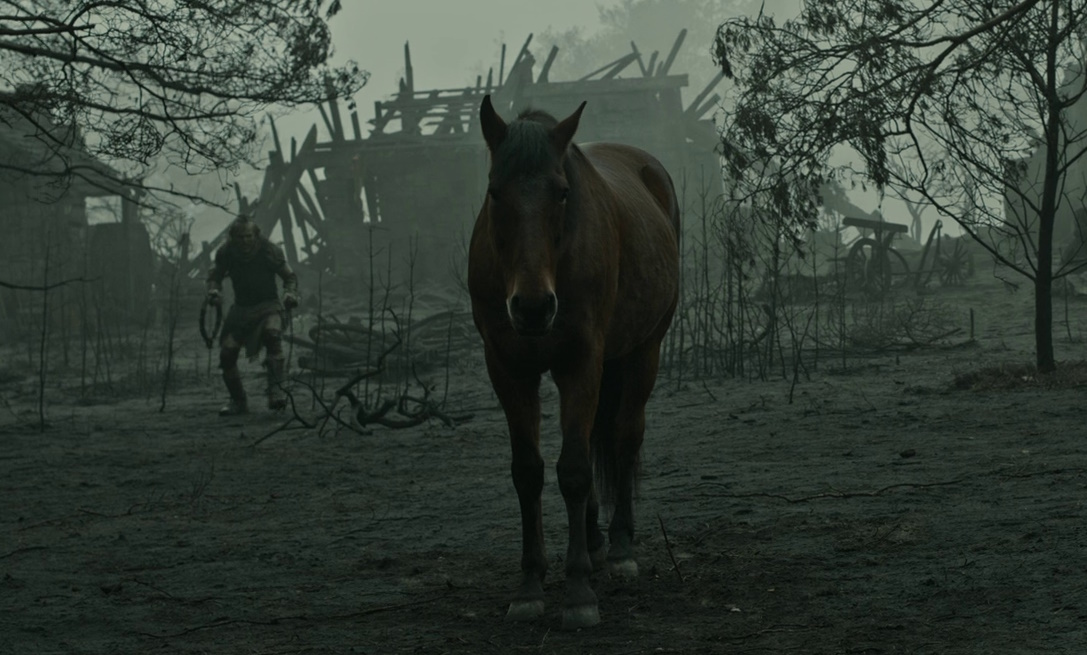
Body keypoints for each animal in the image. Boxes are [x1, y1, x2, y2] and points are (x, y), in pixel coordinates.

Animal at [467, 95, 681, 629]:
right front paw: (529, 585)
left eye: (562, 192)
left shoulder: (581, 363)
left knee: (624, 437)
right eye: (495, 192)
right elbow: (530, 472)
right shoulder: (508, 369)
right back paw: (595, 537)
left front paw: (579, 591)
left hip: (643, 352)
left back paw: (620, 547)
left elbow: (576, 471)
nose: (532, 307)